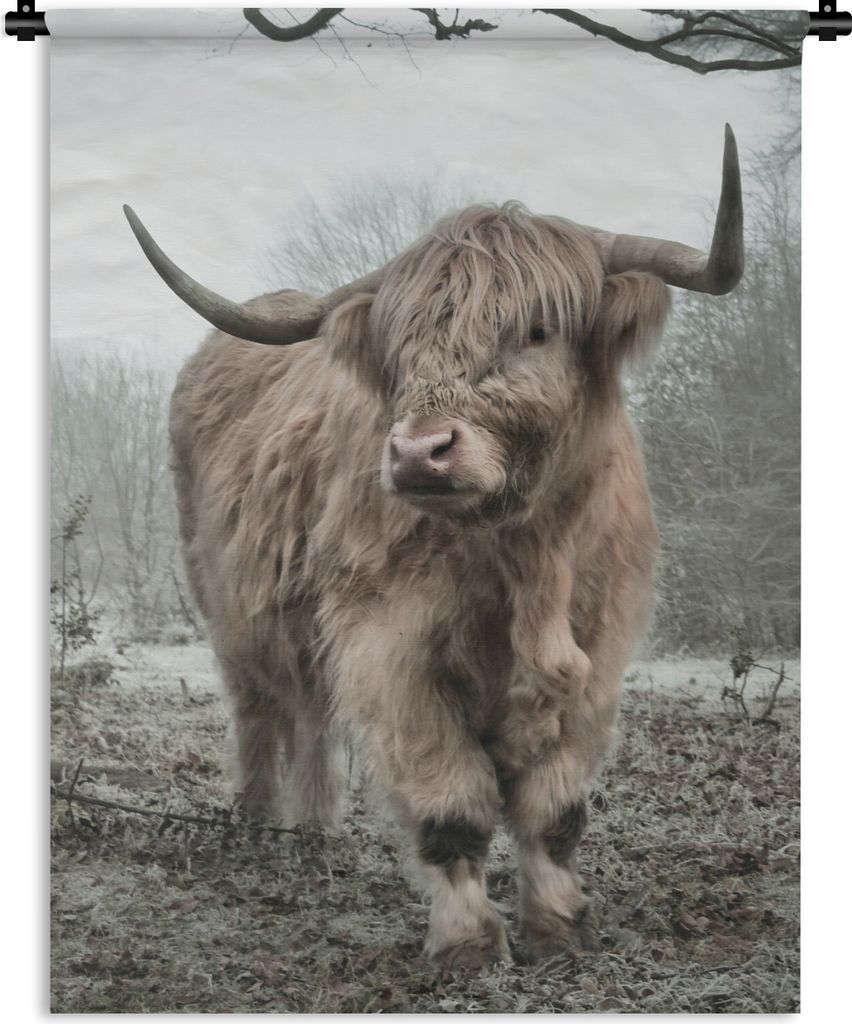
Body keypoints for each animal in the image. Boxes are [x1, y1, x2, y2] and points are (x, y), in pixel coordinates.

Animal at [124, 125, 743, 969]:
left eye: (538, 330)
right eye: (401, 346)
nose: (420, 453)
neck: (524, 559)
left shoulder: (598, 651)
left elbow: (555, 810)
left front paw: (560, 926)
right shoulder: (393, 649)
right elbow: (453, 805)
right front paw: (469, 944)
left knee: (312, 718)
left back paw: (313, 834)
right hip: (228, 610)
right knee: (260, 714)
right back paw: (258, 828)